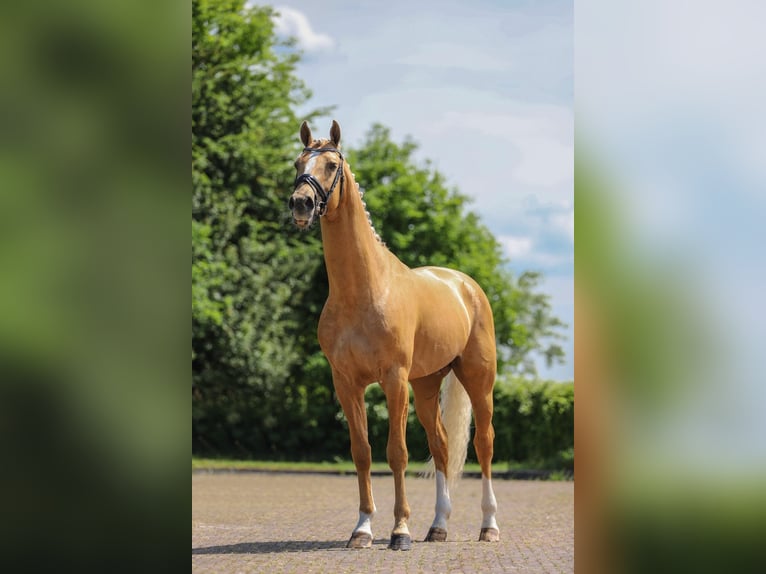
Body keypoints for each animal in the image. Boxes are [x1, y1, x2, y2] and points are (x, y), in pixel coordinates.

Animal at [292, 121, 500, 552]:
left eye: (332, 164)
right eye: (298, 163)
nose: (300, 203)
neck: (365, 290)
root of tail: (466, 286)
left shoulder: (393, 379)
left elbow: (397, 453)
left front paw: (399, 531)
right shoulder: (347, 383)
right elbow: (363, 452)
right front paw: (362, 529)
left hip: (477, 379)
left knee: (484, 445)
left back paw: (488, 526)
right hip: (426, 385)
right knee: (441, 445)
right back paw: (437, 527)